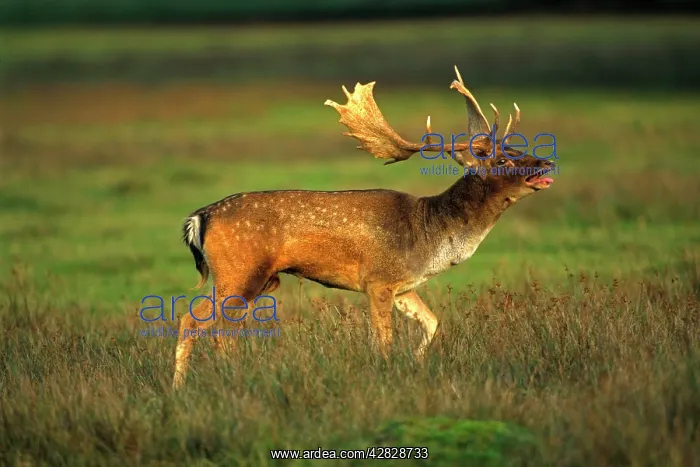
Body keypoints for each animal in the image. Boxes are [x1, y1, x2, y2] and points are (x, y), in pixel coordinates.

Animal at [172, 66, 555, 389]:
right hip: (242, 270)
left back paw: (180, 388)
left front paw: (416, 363)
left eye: (515, 146)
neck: (428, 235)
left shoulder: (403, 285)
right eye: (503, 159)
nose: (546, 162)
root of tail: (199, 217)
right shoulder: (378, 280)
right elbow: (383, 342)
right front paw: (386, 375)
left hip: (248, 277)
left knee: (193, 320)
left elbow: (432, 323)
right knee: (213, 326)